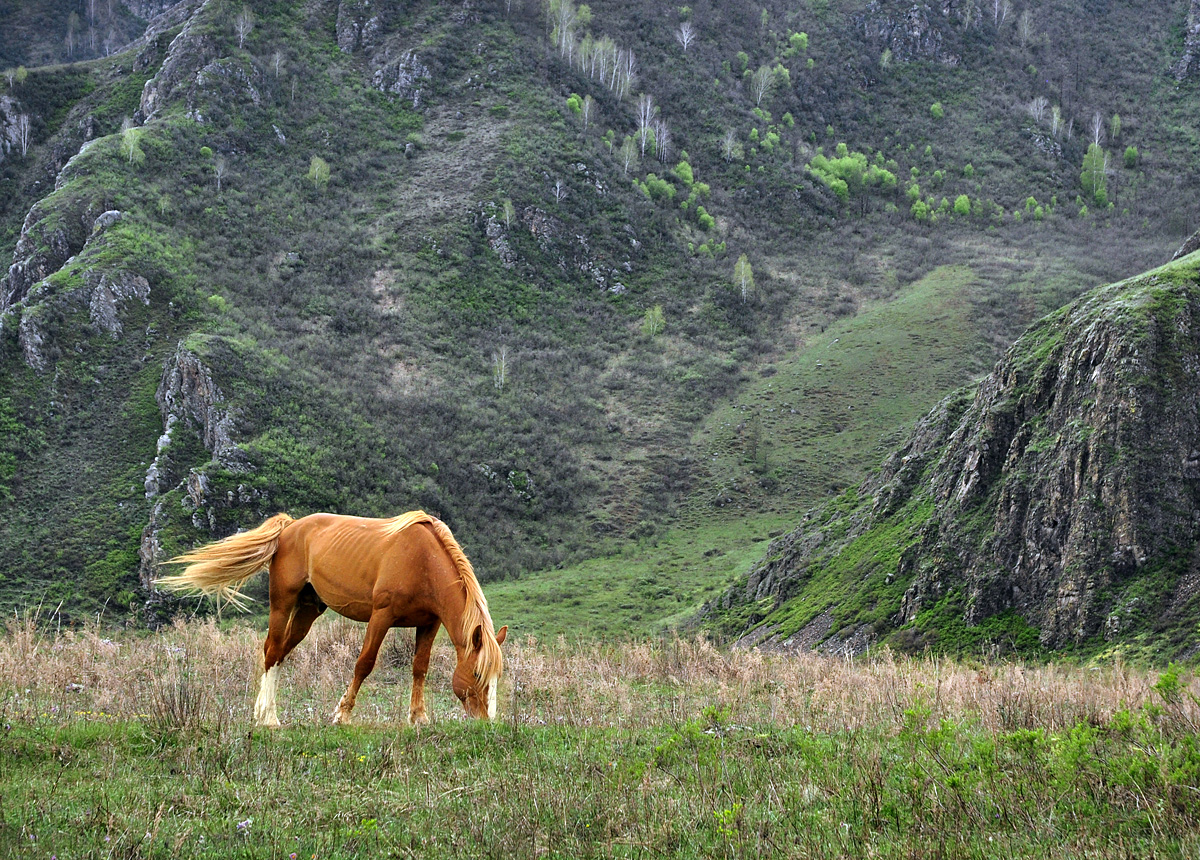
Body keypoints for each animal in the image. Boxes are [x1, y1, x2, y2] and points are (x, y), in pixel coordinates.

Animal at [153, 510, 506, 724]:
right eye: (477, 675)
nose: (485, 722)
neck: (422, 559)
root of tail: (290, 527)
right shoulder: (382, 616)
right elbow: (364, 663)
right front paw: (342, 715)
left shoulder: (428, 623)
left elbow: (420, 668)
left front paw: (418, 718)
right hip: (282, 605)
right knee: (270, 652)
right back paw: (269, 719)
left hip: (308, 610)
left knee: (280, 654)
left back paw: (262, 713)